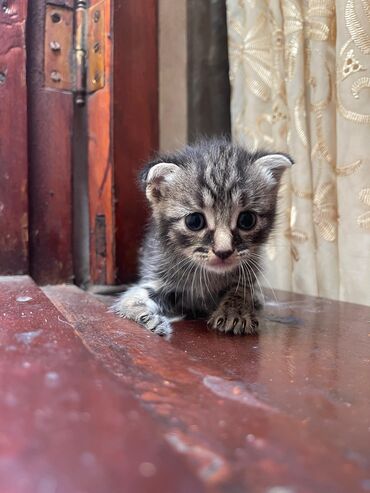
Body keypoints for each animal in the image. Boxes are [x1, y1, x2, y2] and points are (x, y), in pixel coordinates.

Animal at [112, 137, 292, 334]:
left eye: (246, 220)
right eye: (194, 221)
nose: (223, 251)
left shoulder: (248, 268)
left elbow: (240, 289)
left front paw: (235, 311)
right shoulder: (159, 275)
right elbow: (136, 295)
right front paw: (141, 313)